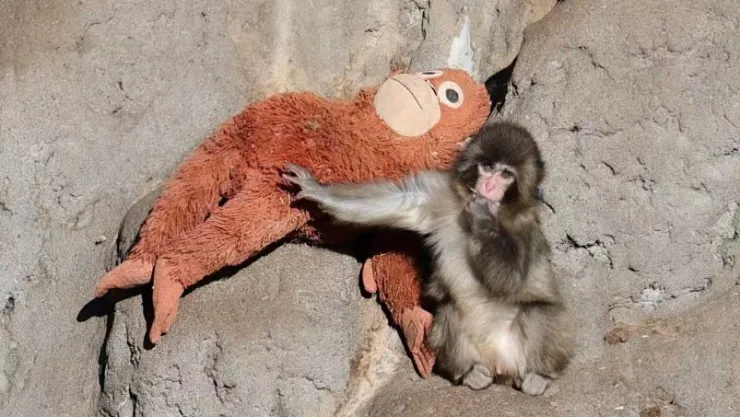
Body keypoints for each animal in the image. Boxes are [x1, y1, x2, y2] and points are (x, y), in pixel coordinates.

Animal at [282, 121, 573, 396]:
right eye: (487, 167)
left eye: (506, 175)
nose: (489, 186)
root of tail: (501, 367)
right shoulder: (440, 193)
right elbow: (403, 202)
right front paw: (316, 188)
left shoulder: (525, 225)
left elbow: (512, 281)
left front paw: (484, 215)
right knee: (450, 310)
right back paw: (470, 374)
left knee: (538, 311)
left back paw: (539, 376)